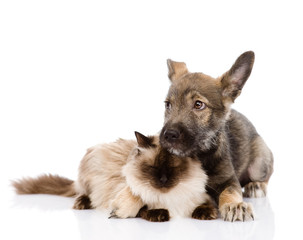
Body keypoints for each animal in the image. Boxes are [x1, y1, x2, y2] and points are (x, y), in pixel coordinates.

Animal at [11, 131, 216, 221]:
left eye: (173, 168)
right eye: (152, 168)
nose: (163, 180)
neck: (171, 196)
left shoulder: (199, 197)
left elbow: (204, 206)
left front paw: (206, 214)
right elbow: (143, 208)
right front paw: (159, 214)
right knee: (83, 193)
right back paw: (82, 203)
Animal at [160, 51, 274, 221]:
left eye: (198, 104)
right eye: (168, 105)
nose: (168, 135)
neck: (198, 155)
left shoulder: (229, 180)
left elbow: (229, 192)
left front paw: (234, 205)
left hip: (259, 164)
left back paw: (256, 185)